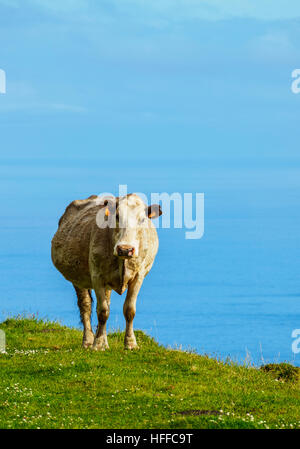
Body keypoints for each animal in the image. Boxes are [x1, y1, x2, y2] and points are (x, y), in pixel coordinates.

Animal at [51, 192, 162, 350]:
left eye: (142, 219)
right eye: (117, 217)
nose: (125, 249)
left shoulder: (138, 276)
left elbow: (129, 310)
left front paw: (130, 343)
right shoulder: (97, 276)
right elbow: (102, 311)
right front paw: (98, 344)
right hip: (77, 278)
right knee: (85, 305)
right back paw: (88, 340)